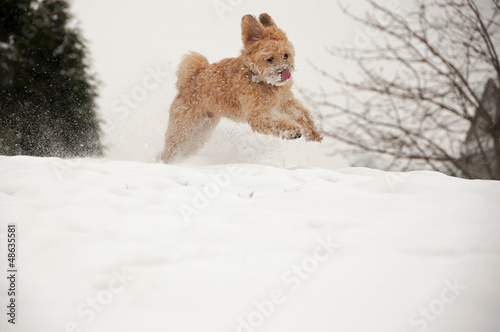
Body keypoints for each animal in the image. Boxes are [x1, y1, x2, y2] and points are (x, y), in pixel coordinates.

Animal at [157, 13, 324, 163]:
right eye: (269, 59)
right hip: (183, 128)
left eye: (286, 55)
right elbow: (276, 122)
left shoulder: (285, 102)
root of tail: (191, 79)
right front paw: (292, 131)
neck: (261, 80)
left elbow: (302, 114)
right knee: (170, 149)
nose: (285, 72)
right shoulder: (258, 114)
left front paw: (313, 132)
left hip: (200, 132)